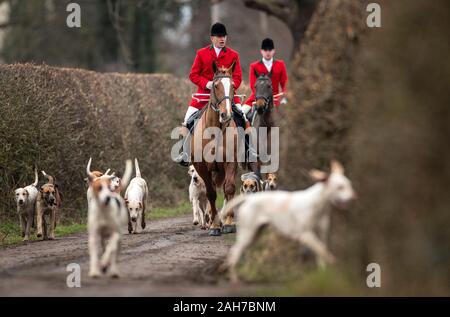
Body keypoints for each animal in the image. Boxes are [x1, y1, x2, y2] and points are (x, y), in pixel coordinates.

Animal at [191, 61, 241, 235]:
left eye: (233, 85)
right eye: (216, 85)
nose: (226, 114)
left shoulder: (231, 162)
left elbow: (230, 189)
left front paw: (229, 223)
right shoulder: (202, 168)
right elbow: (211, 194)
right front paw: (213, 225)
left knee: (226, 190)